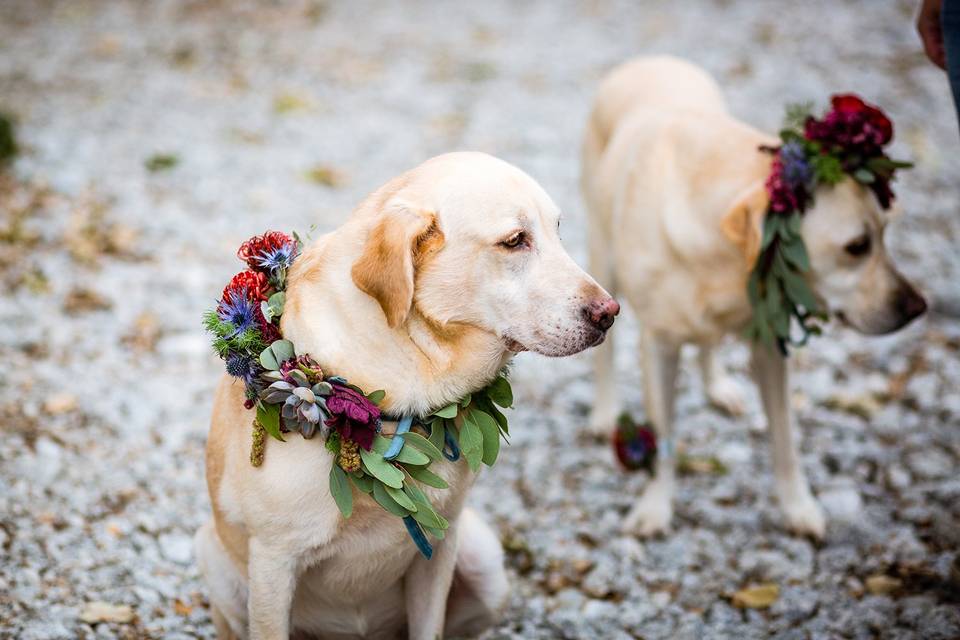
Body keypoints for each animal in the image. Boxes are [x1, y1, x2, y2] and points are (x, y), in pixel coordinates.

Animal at [195, 151, 620, 640]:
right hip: (217, 563)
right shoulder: (273, 564)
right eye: (515, 241)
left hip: (485, 566)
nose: (610, 313)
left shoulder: (438, 546)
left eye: (557, 229)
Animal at [580, 57, 928, 540]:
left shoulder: (769, 343)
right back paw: (604, 411)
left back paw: (718, 385)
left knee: (707, 343)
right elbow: (663, 436)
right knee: (606, 356)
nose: (918, 308)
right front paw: (656, 506)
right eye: (857, 246)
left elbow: (786, 437)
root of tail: (648, 60)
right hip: (602, 259)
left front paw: (798, 506)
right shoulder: (659, 344)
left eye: (886, 232)